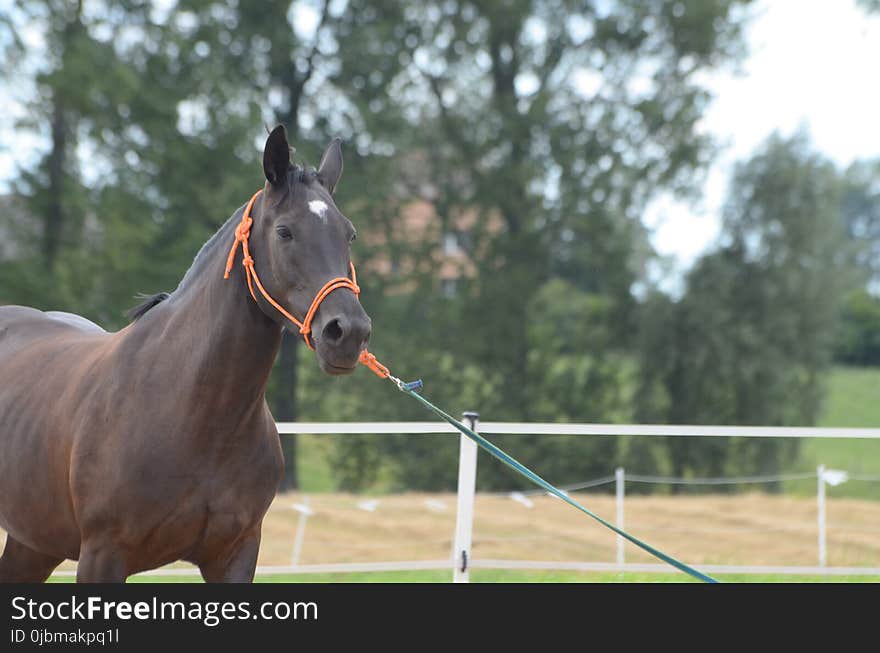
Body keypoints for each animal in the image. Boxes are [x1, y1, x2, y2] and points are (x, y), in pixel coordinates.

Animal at [0, 127, 370, 580]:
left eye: (348, 233)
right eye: (285, 231)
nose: (347, 332)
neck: (193, 410)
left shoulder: (235, 553)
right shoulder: (102, 555)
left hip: (34, 542)